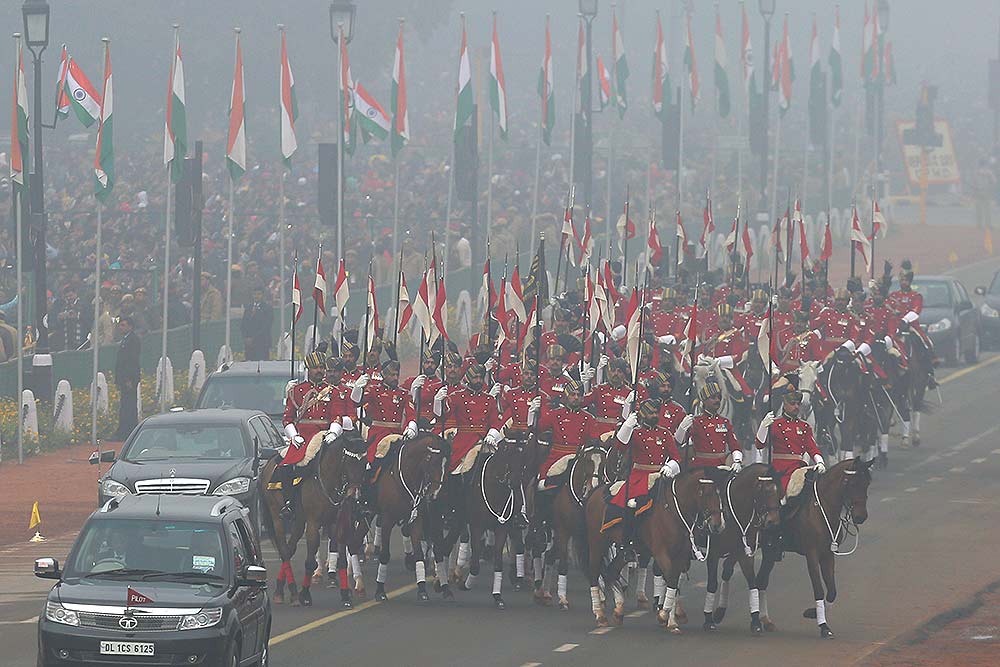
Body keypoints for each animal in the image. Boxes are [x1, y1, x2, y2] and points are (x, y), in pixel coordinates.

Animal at [258, 430, 368, 608]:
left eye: (364, 461)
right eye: (350, 461)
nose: (355, 495)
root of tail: (267, 465)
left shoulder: (336, 522)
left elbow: (342, 560)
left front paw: (345, 595)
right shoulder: (313, 523)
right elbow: (310, 561)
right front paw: (305, 594)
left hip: (299, 521)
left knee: (289, 548)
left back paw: (282, 590)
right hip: (277, 517)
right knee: (284, 551)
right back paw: (293, 592)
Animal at [370, 434, 452, 604]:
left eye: (447, 464)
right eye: (431, 460)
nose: (436, 495)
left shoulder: (416, 520)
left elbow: (419, 554)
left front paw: (422, 590)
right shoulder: (387, 519)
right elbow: (385, 555)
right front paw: (380, 590)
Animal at [580, 468, 728, 636]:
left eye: (721, 494)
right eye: (707, 493)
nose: (718, 525)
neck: (672, 510)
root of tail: (596, 492)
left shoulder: (680, 555)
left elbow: (674, 581)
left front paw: (671, 619)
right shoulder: (661, 553)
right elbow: (671, 579)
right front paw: (665, 615)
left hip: (623, 550)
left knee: (611, 571)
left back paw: (618, 611)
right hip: (597, 543)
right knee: (593, 572)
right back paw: (600, 614)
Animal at [696, 468, 780, 636]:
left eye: (778, 490)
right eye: (766, 491)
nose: (773, 522)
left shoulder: (742, 552)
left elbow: (751, 581)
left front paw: (755, 621)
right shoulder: (713, 553)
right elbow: (712, 584)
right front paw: (708, 619)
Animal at [752, 456, 872, 640]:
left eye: (867, 483)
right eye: (852, 483)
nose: (861, 516)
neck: (822, 507)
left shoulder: (828, 554)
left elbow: (832, 591)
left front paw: (813, 613)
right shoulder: (812, 555)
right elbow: (819, 589)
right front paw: (823, 626)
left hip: (770, 552)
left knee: (761, 581)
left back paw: (765, 620)